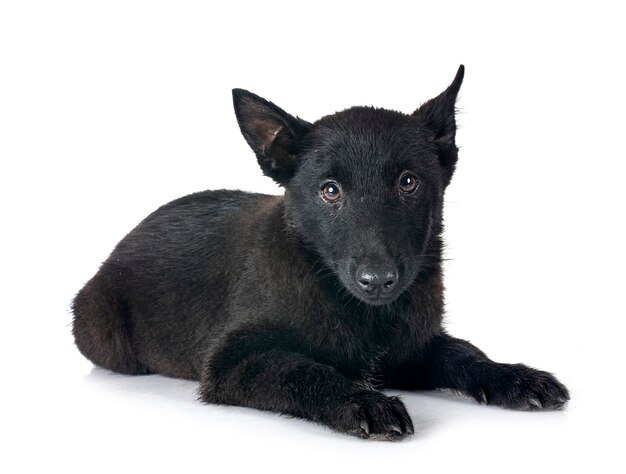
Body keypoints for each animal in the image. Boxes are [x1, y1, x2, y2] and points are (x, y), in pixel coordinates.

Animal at [72, 66, 564, 440]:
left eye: (408, 182)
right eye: (330, 190)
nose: (378, 280)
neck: (361, 309)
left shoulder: (412, 350)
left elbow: (465, 352)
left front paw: (513, 376)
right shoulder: (232, 360)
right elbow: (303, 370)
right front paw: (362, 401)